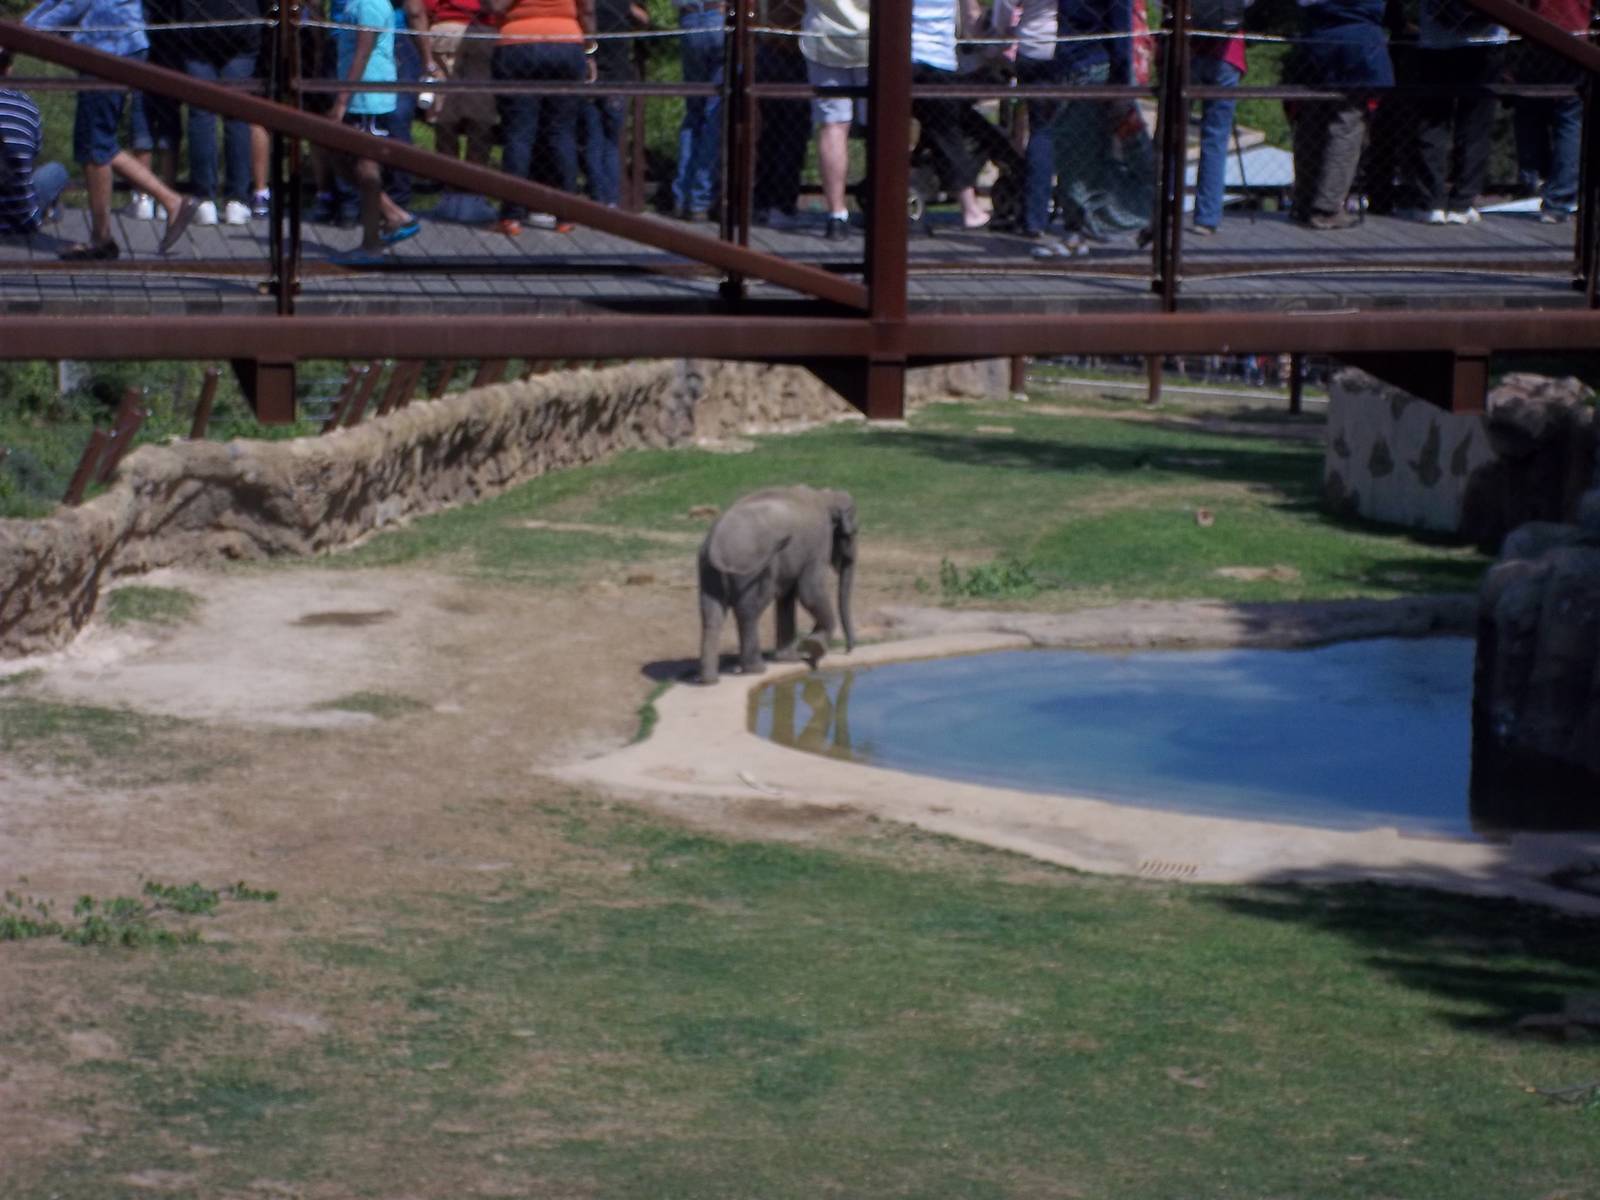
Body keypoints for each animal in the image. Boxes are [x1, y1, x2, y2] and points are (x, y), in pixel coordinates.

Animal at [697, 486, 858, 685]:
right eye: (853, 532)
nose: (848, 650)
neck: (825, 496)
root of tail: (715, 544)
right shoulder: (819, 541)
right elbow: (810, 592)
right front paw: (813, 646)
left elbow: (787, 597)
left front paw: (791, 658)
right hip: (752, 569)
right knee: (749, 610)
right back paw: (756, 669)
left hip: (708, 571)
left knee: (711, 615)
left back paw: (710, 680)